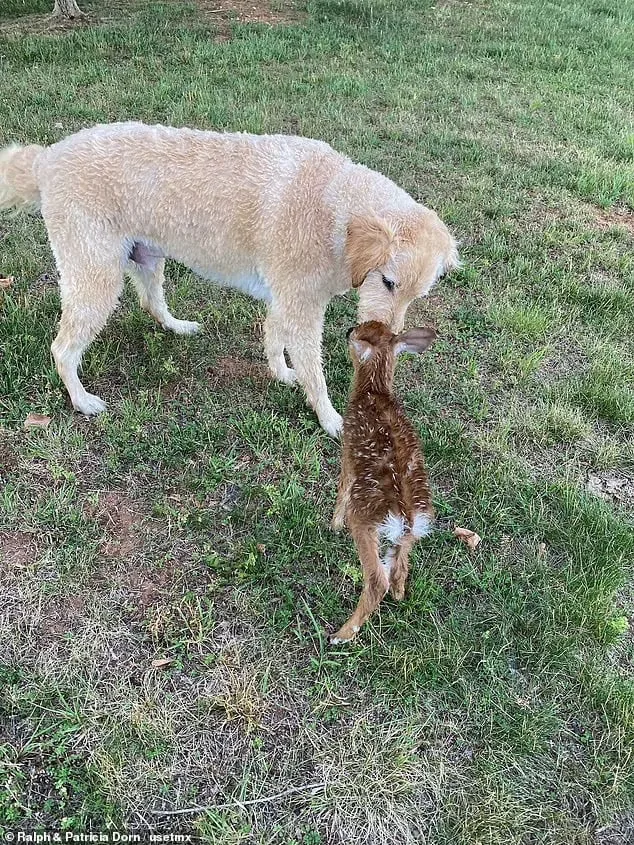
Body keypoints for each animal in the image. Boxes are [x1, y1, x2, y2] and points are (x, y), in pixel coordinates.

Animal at [0, 123, 454, 436]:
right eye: (388, 283)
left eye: (416, 295)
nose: (389, 343)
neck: (334, 206)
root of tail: (48, 158)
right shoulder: (302, 309)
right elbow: (315, 373)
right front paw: (330, 420)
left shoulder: (285, 301)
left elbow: (274, 338)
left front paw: (281, 374)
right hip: (96, 281)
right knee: (62, 349)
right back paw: (81, 400)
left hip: (146, 258)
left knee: (151, 303)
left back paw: (177, 327)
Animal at [328, 320, 436, 644]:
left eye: (359, 333)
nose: (348, 329)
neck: (374, 389)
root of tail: (407, 518)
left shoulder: (348, 452)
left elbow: (342, 488)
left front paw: (333, 525)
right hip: (408, 535)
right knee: (399, 570)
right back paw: (400, 595)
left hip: (364, 519)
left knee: (378, 580)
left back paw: (341, 634)